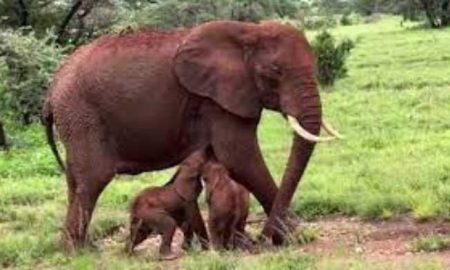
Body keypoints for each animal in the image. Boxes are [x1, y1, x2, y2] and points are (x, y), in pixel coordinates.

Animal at [42, 20, 340, 250]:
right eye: (275, 73)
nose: (261, 238)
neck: (248, 31)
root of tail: (52, 89)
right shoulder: (217, 100)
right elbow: (239, 158)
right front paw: (295, 238)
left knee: (75, 181)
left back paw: (82, 248)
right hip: (83, 116)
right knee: (93, 179)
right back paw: (77, 253)